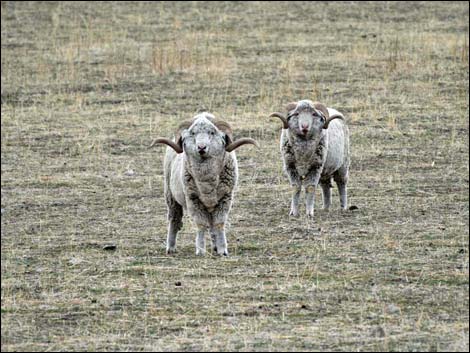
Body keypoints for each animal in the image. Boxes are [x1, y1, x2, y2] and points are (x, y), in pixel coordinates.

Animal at [151, 113, 258, 256]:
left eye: (212, 132)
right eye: (193, 133)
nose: (201, 148)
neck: (207, 182)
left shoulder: (225, 199)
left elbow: (219, 223)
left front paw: (222, 250)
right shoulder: (193, 200)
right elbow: (201, 224)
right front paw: (201, 250)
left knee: (211, 225)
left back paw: (215, 246)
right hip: (170, 195)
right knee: (174, 219)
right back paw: (171, 247)